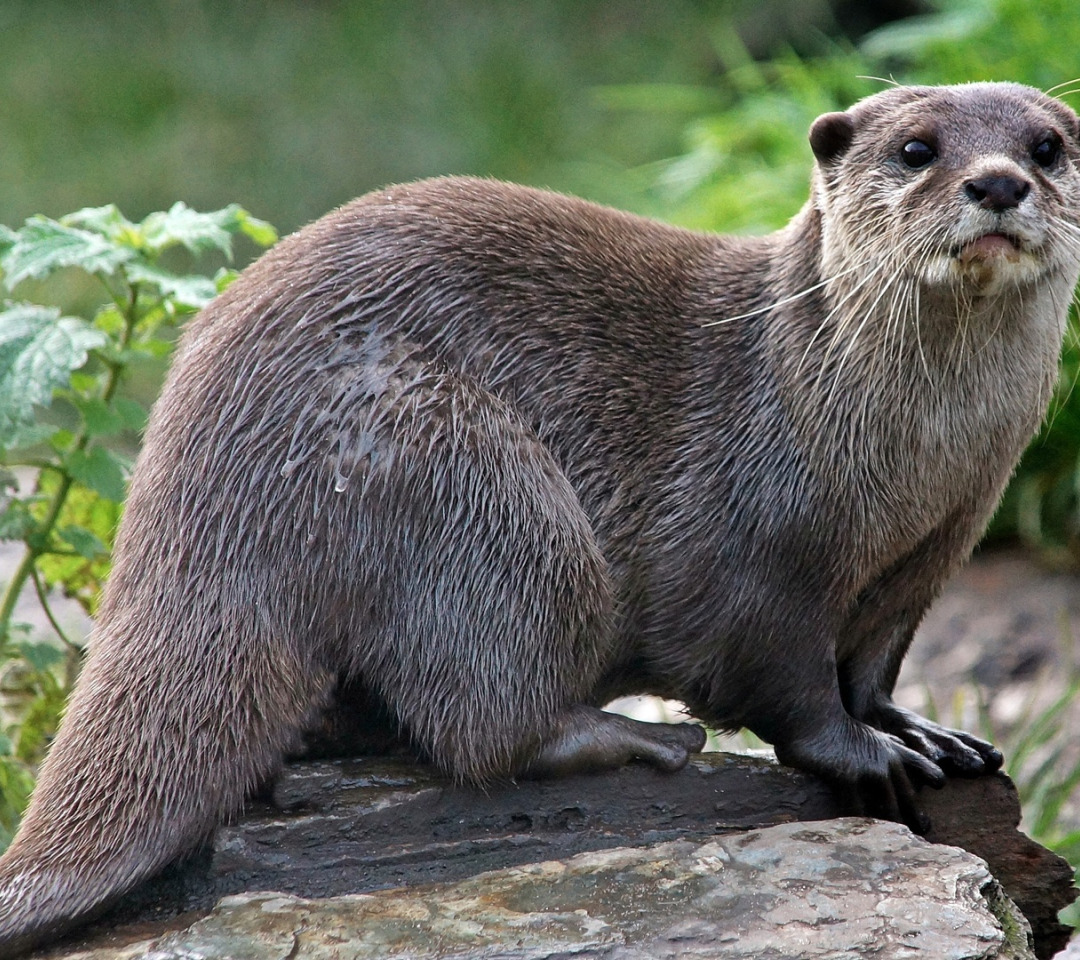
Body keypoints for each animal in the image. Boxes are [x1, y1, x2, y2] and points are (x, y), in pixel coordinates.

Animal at [2, 80, 1080, 950]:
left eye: (1045, 146)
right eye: (917, 149)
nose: (997, 184)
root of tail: (191, 495)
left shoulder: (934, 550)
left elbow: (874, 662)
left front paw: (921, 732)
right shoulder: (759, 548)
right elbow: (783, 675)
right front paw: (864, 752)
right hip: (471, 487)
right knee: (479, 723)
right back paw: (630, 739)